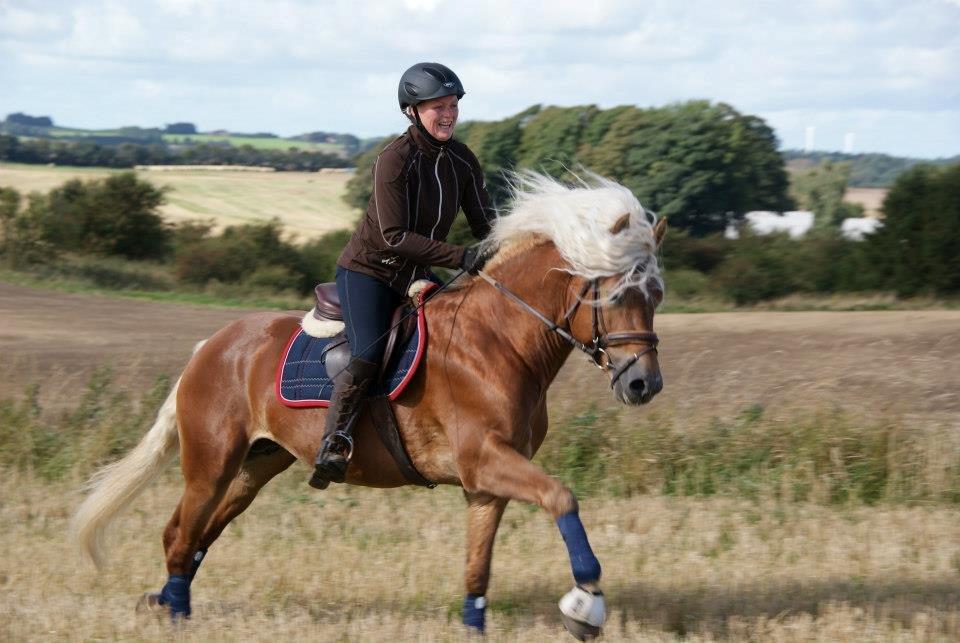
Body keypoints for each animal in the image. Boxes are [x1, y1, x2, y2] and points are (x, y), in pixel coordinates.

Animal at [73, 171, 668, 640]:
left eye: (656, 295)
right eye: (616, 294)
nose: (645, 385)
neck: (500, 338)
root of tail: (210, 347)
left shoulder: (486, 481)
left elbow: (478, 568)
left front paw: (477, 625)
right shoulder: (486, 459)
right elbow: (562, 497)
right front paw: (586, 602)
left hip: (256, 464)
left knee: (200, 533)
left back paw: (169, 603)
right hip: (211, 461)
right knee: (180, 533)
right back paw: (173, 612)